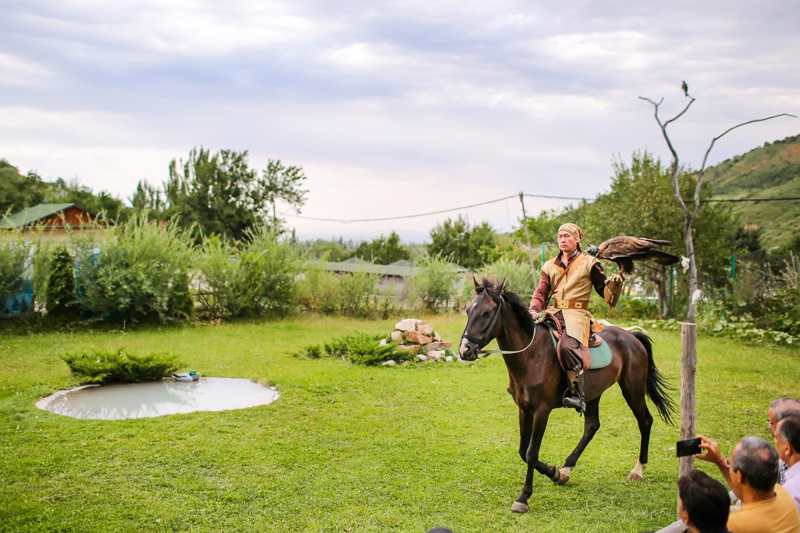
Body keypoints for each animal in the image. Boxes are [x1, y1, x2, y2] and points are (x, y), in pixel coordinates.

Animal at [456, 278, 676, 512]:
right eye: (468, 310)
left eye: (487, 312)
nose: (465, 349)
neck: (531, 355)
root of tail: (631, 336)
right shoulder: (524, 410)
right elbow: (523, 450)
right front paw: (554, 473)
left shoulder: (541, 411)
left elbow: (531, 452)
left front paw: (524, 497)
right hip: (593, 393)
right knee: (592, 426)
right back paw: (566, 469)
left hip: (632, 390)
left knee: (645, 421)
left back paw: (638, 470)